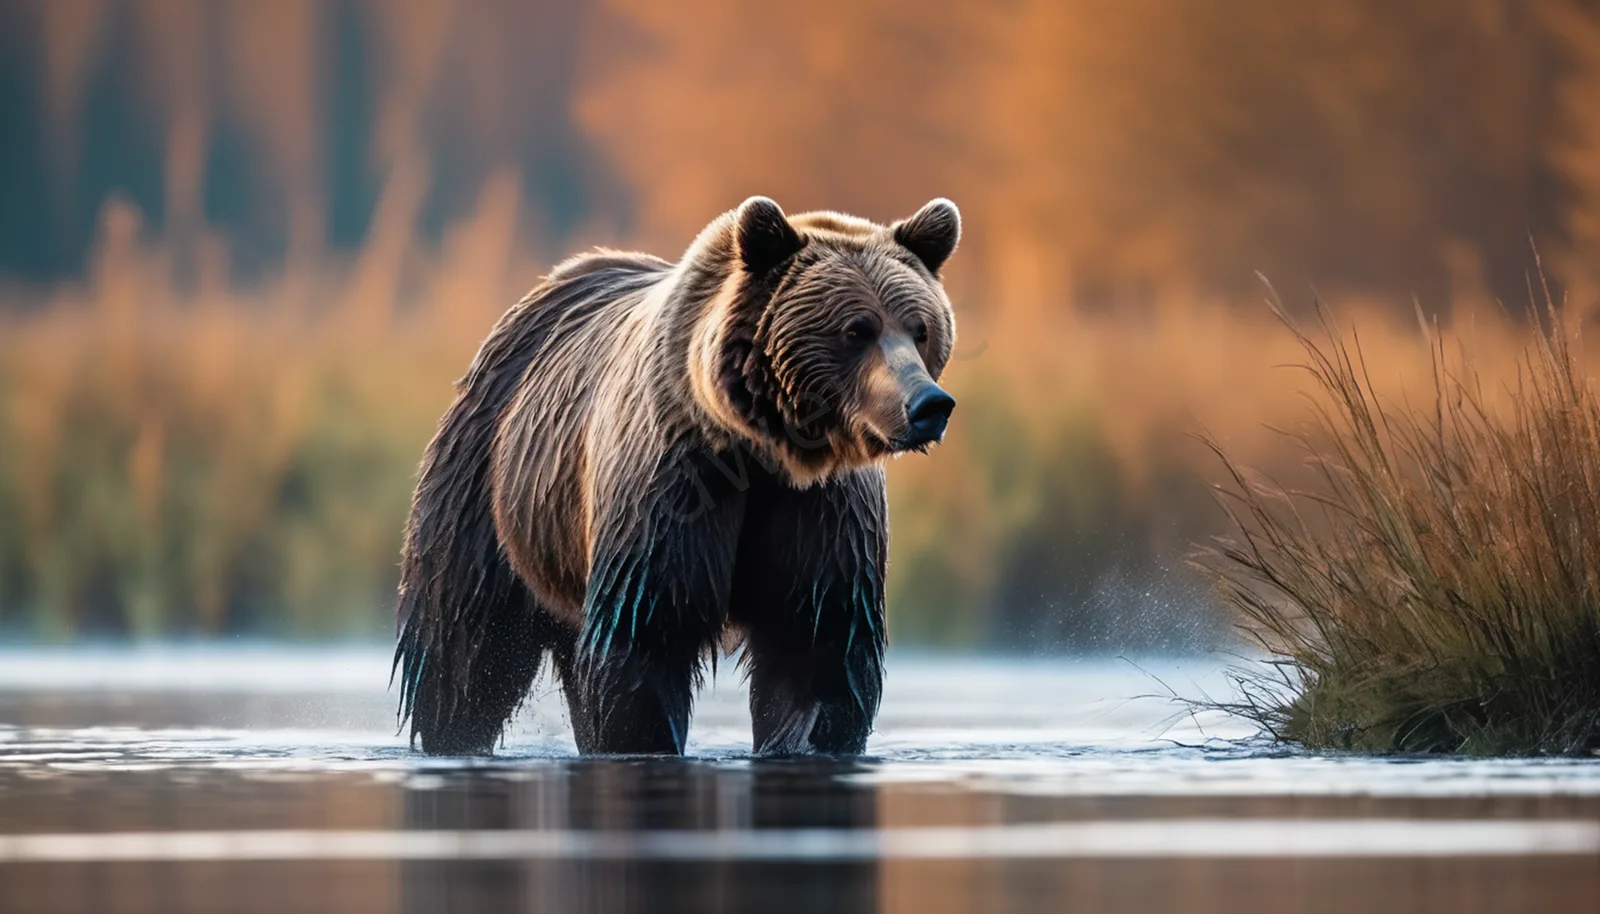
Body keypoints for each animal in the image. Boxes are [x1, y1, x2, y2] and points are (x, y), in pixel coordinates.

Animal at [393, 196, 961, 756]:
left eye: (920, 328)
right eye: (857, 329)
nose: (928, 404)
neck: (760, 448)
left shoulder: (823, 509)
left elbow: (817, 649)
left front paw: (804, 738)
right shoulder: (675, 485)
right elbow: (648, 636)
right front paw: (644, 737)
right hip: (487, 489)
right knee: (464, 649)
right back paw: (449, 735)